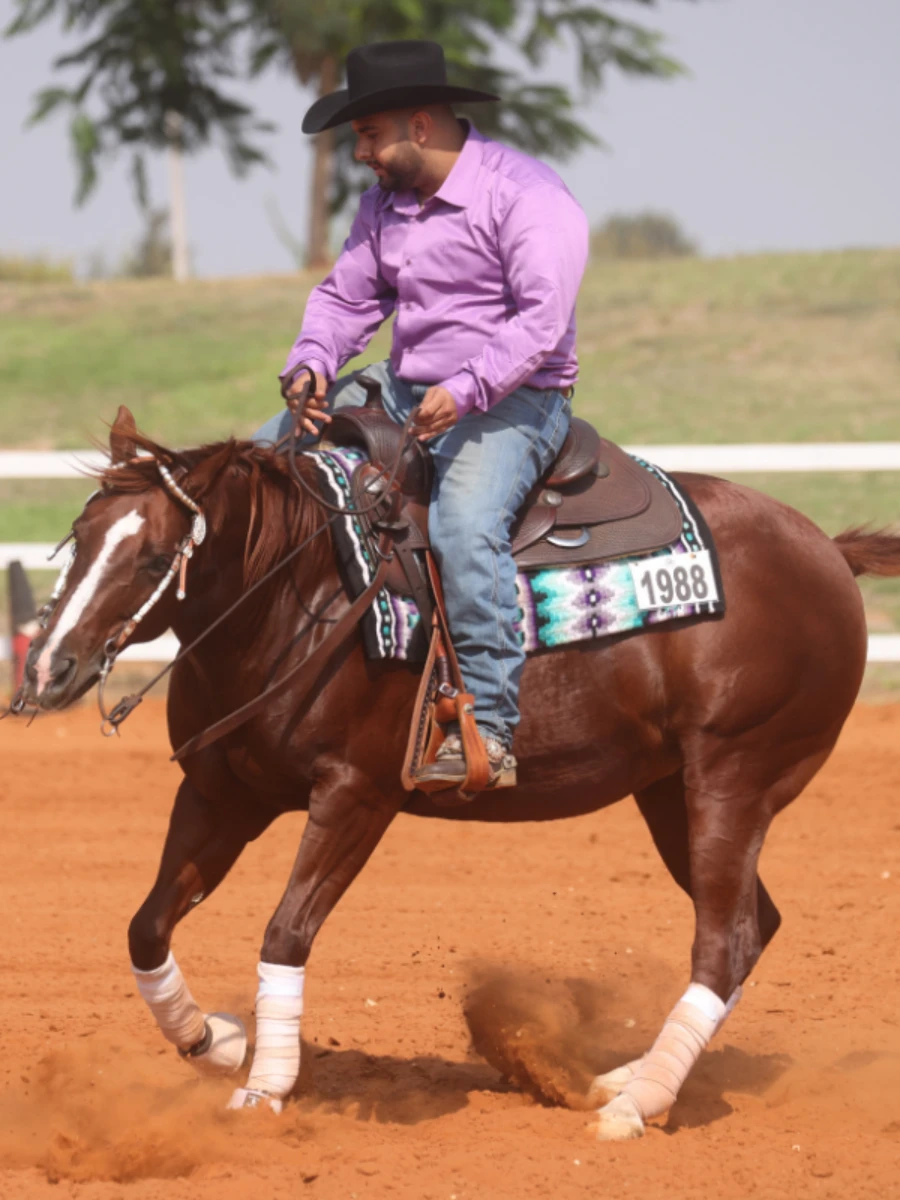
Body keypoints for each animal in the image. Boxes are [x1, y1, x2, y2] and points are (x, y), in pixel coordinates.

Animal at [19, 410, 900, 1132]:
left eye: (152, 560)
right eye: (79, 537)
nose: (49, 668)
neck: (302, 594)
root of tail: (826, 549)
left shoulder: (355, 796)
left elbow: (285, 930)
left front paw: (264, 1089)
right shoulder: (219, 792)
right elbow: (146, 926)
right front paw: (217, 1042)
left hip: (732, 776)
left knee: (725, 939)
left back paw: (636, 1106)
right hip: (669, 795)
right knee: (756, 927)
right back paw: (626, 1078)